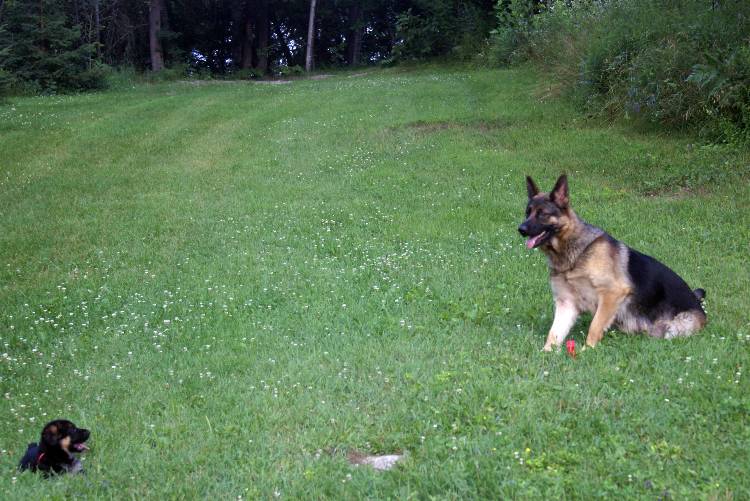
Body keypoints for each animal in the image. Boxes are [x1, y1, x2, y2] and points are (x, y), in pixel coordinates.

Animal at [520, 174, 708, 350]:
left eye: (542, 214)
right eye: (527, 213)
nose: (520, 229)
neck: (576, 253)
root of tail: (699, 304)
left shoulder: (611, 294)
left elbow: (595, 326)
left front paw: (587, 350)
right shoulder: (566, 304)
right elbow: (554, 333)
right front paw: (546, 353)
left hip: (674, 327)